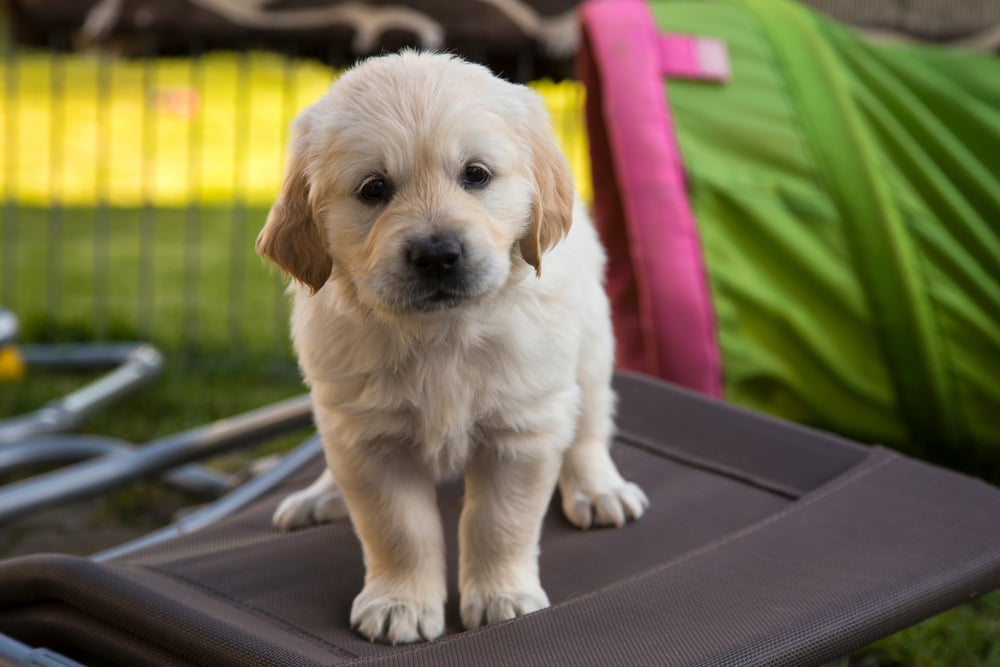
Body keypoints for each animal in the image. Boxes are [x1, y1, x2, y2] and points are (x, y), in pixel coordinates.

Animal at [258, 49, 648, 644]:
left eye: (476, 175)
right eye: (373, 188)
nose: (438, 254)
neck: (442, 333)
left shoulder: (521, 428)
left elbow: (498, 522)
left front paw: (503, 597)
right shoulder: (370, 440)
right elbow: (397, 527)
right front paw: (399, 603)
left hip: (590, 349)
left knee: (588, 426)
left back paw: (599, 489)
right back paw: (320, 495)